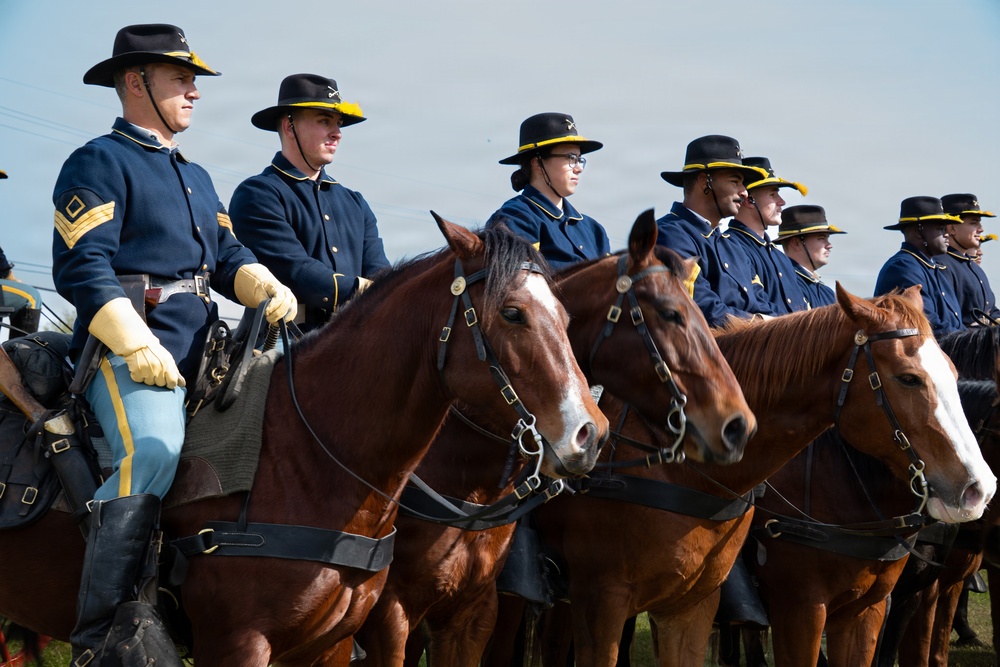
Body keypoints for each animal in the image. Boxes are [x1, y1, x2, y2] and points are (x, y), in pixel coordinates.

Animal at [0, 215, 609, 666]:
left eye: (566, 315)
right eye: (512, 312)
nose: (590, 433)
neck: (311, 459)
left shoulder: (345, 642)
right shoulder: (244, 644)